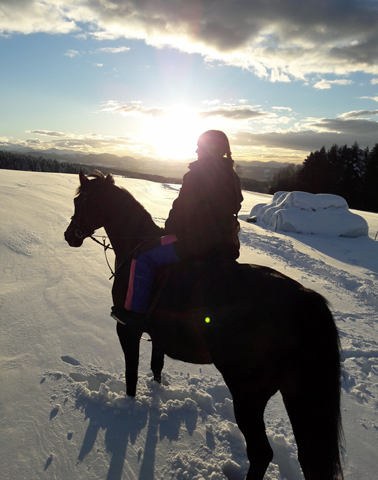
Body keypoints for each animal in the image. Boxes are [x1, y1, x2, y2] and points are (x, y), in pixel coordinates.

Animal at [65, 172, 346, 480]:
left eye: (79, 201)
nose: (69, 235)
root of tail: (304, 298)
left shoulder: (128, 329)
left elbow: (131, 375)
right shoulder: (159, 338)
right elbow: (155, 369)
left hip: (249, 392)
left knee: (261, 453)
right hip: (296, 391)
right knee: (308, 458)